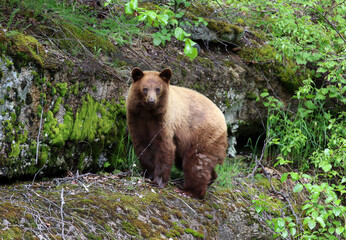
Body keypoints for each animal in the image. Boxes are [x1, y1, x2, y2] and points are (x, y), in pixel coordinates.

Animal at [125, 67, 228, 199]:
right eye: (145, 89)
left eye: (158, 89)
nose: (151, 100)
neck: (148, 113)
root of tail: (223, 120)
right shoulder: (136, 119)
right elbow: (143, 147)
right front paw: (148, 175)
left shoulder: (165, 122)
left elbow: (165, 148)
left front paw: (158, 181)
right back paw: (211, 179)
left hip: (204, 135)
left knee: (196, 162)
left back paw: (189, 191)